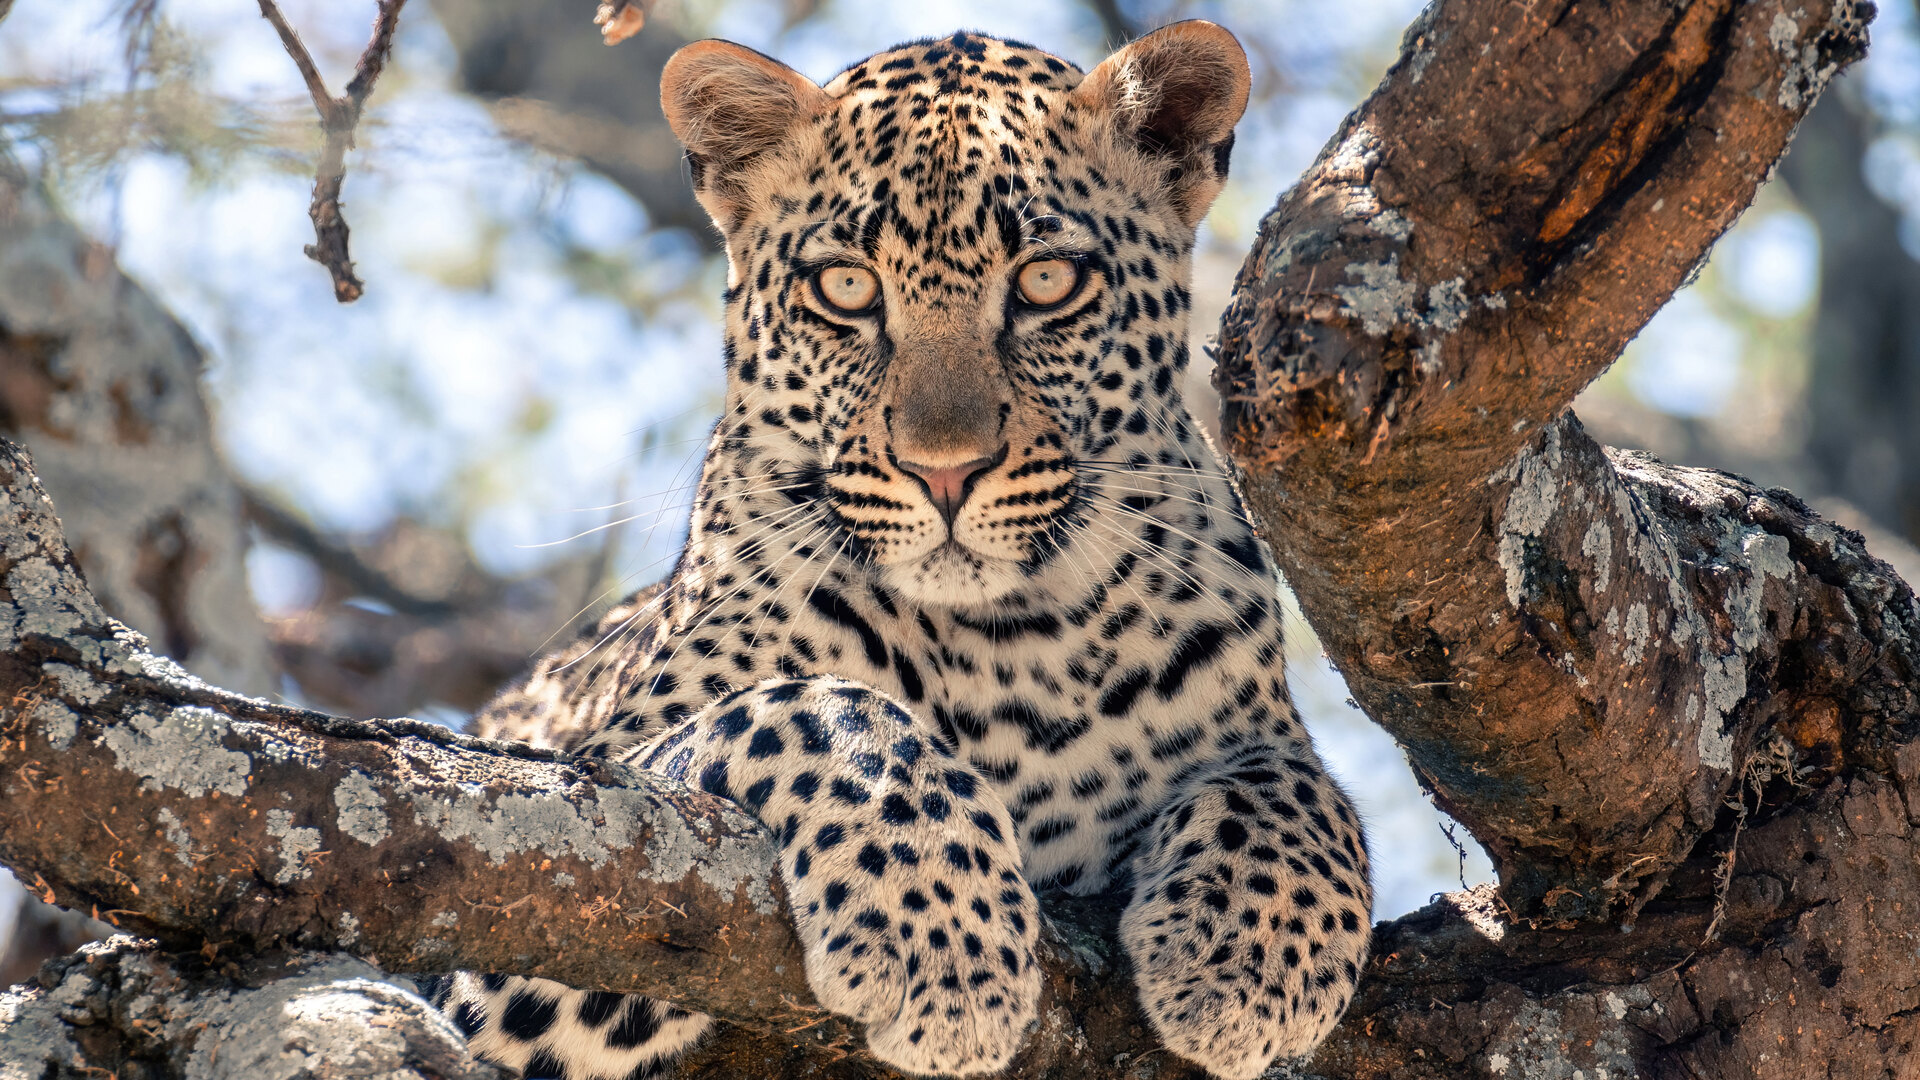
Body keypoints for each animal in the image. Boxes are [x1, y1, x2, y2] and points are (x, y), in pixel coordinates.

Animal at [425, 21, 1372, 1080]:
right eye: (846, 287)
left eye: (1047, 281)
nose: (945, 472)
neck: (1012, 643)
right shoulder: (554, 858)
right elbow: (814, 705)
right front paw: (947, 945)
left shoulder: (1257, 726)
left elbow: (1296, 784)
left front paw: (1256, 956)